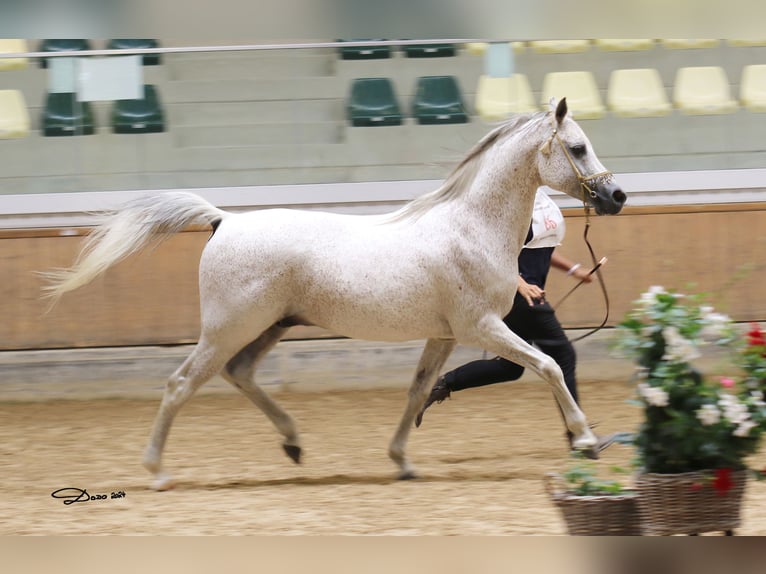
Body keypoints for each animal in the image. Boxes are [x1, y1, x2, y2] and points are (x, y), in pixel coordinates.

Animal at [42, 98, 626, 490]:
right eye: (577, 147)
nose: (616, 196)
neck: (469, 228)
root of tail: (224, 220)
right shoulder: (481, 326)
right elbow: (549, 366)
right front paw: (585, 440)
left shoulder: (443, 335)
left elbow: (417, 390)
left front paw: (402, 461)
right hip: (229, 328)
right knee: (180, 384)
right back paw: (158, 472)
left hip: (270, 326)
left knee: (240, 374)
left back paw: (293, 443)